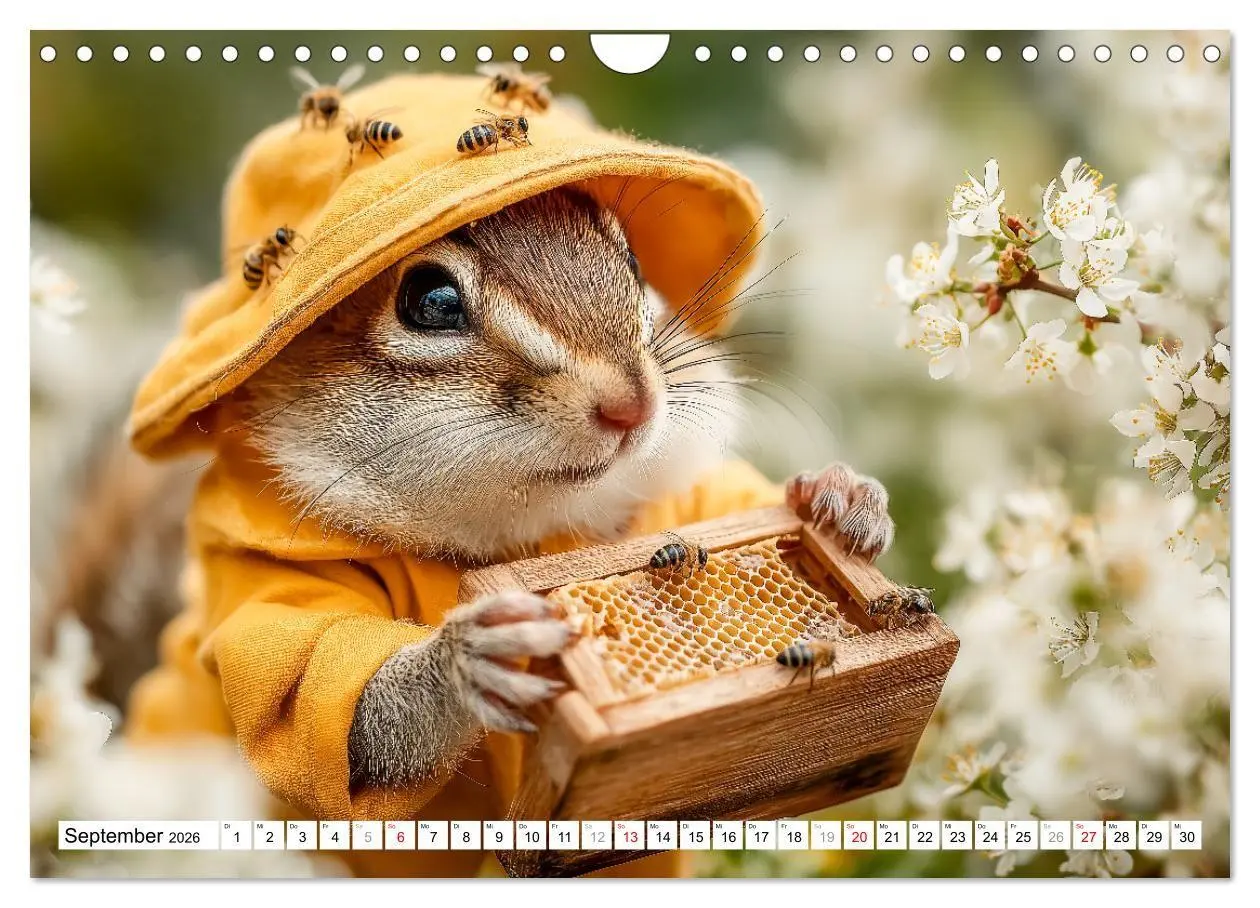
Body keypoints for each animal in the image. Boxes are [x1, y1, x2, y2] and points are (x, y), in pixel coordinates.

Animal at [46, 187, 895, 801]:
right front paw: (466, 661)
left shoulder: (670, 511)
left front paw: (843, 498)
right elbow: (329, 707)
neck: (533, 523)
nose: (633, 406)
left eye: (628, 254)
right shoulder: (268, 592)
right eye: (430, 299)